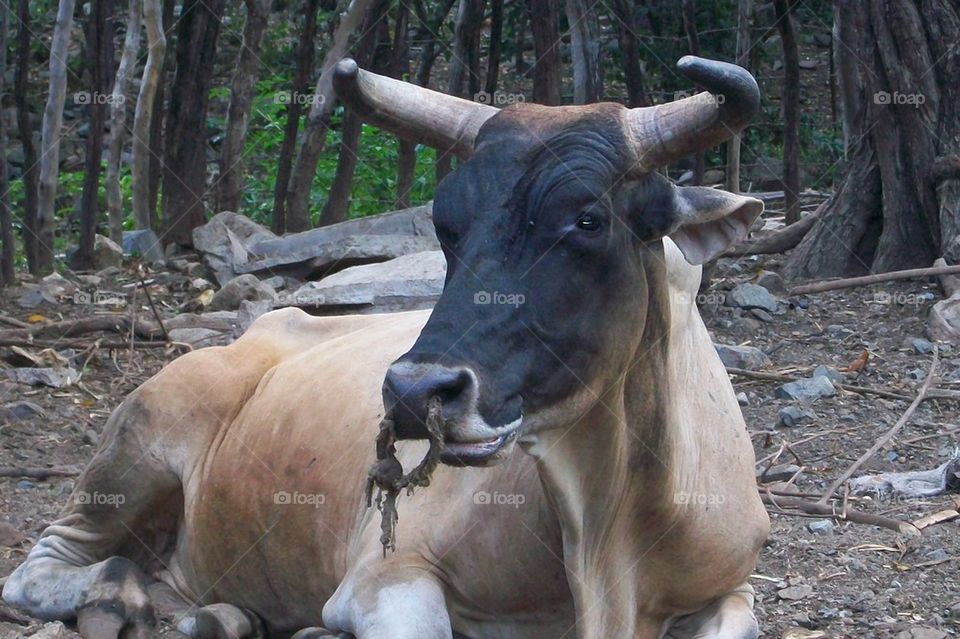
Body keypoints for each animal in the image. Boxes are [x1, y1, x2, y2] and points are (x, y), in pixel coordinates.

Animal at [3, 56, 769, 639]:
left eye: (588, 219)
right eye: (446, 223)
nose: (413, 392)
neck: (609, 545)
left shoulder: (734, 589)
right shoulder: (383, 578)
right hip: (134, 449)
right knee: (47, 564)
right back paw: (114, 595)